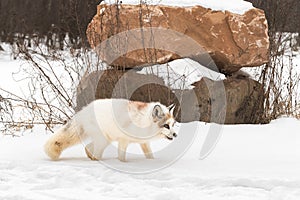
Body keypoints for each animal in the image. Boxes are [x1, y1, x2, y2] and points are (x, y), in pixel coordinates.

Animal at [43, 97, 177, 162]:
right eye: (166, 126)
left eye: (173, 124)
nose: (175, 135)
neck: (142, 121)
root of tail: (83, 111)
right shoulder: (123, 140)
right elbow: (122, 157)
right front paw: (123, 164)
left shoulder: (144, 142)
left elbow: (150, 156)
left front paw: (152, 162)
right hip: (103, 141)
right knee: (94, 154)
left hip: (106, 140)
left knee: (87, 148)